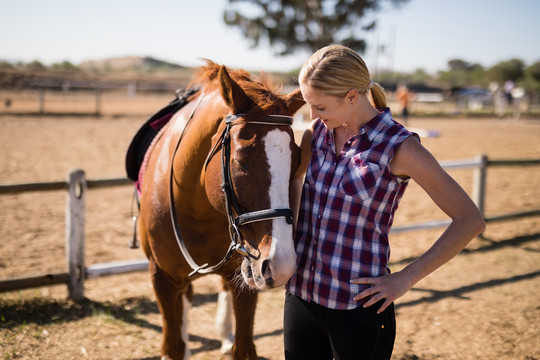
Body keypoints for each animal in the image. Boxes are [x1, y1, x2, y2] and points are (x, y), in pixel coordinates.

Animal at [137, 62, 306, 360]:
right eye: (239, 160)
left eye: (296, 160)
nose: (282, 264)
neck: (195, 208)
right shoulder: (162, 280)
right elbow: (173, 345)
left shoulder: (248, 277)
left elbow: (244, 346)